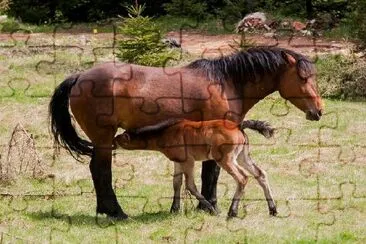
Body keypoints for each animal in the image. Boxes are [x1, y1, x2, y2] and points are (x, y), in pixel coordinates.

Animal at [114, 119, 278, 216]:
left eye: (117, 140)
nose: (111, 145)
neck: (166, 133)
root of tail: (238, 126)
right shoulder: (178, 162)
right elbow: (176, 183)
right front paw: (174, 209)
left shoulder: (188, 161)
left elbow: (190, 186)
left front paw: (212, 209)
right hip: (242, 156)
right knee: (260, 174)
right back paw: (273, 209)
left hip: (225, 159)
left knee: (242, 178)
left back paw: (232, 212)